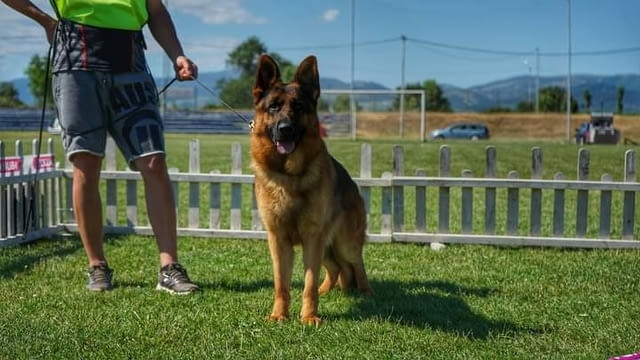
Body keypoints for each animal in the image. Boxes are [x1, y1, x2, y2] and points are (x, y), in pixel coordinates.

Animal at [249, 54, 370, 326]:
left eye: (298, 107)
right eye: (274, 107)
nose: (285, 129)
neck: (290, 176)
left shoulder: (312, 237)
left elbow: (308, 283)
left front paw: (309, 316)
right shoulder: (278, 241)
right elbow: (281, 284)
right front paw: (279, 315)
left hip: (342, 242)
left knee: (356, 263)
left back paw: (366, 291)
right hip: (326, 246)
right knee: (337, 268)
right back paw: (330, 290)